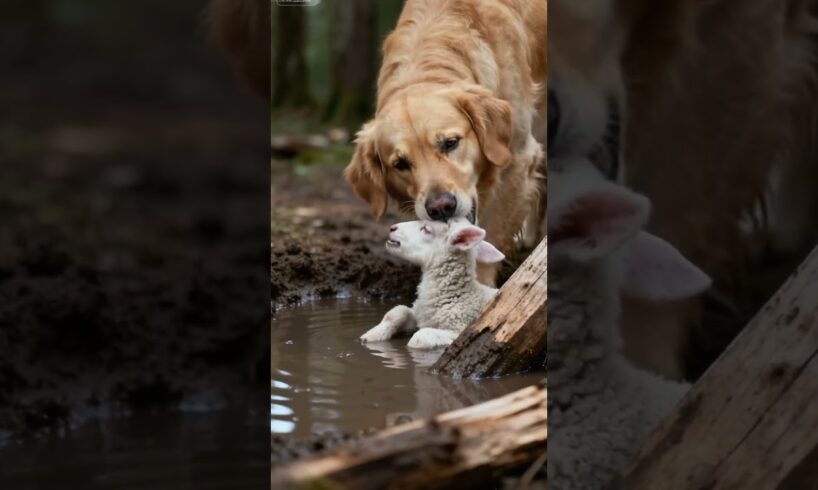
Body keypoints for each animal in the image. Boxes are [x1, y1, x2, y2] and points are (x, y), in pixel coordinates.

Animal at [360, 217, 505, 350]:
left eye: (426, 229)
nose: (392, 228)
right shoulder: (421, 315)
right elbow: (398, 312)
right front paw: (370, 335)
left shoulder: (462, 328)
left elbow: (419, 337)